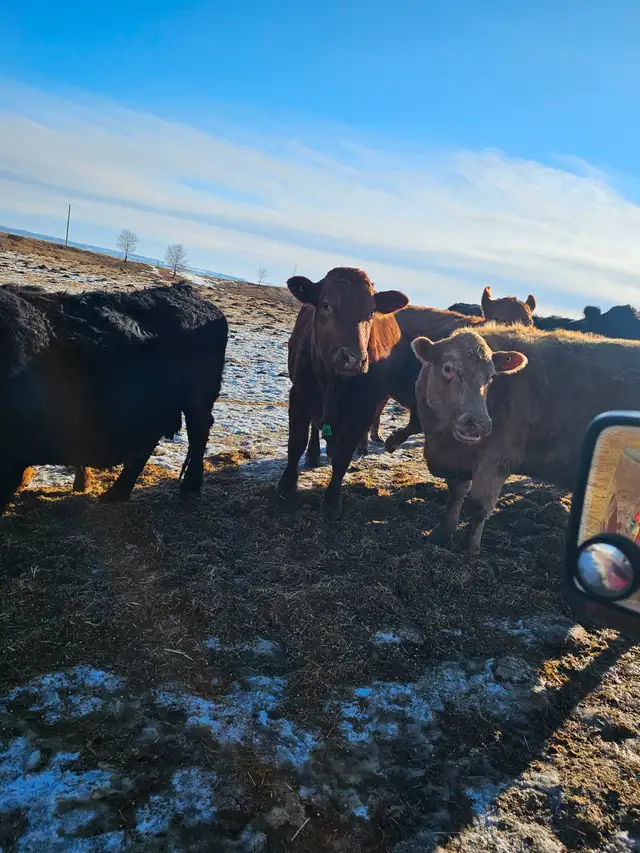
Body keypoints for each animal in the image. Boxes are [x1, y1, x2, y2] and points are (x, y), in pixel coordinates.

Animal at [277, 267, 408, 520]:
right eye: (326, 304)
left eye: (371, 310)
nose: (354, 358)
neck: (333, 383)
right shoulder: (299, 395)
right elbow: (296, 442)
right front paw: (286, 486)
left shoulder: (363, 408)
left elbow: (343, 456)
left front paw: (331, 501)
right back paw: (313, 454)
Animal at [410, 323, 640, 554]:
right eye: (448, 368)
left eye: (491, 376)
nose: (479, 422)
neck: (442, 439)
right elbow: (456, 494)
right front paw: (442, 533)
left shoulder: (498, 460)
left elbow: (479, 506)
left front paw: (469, 549)